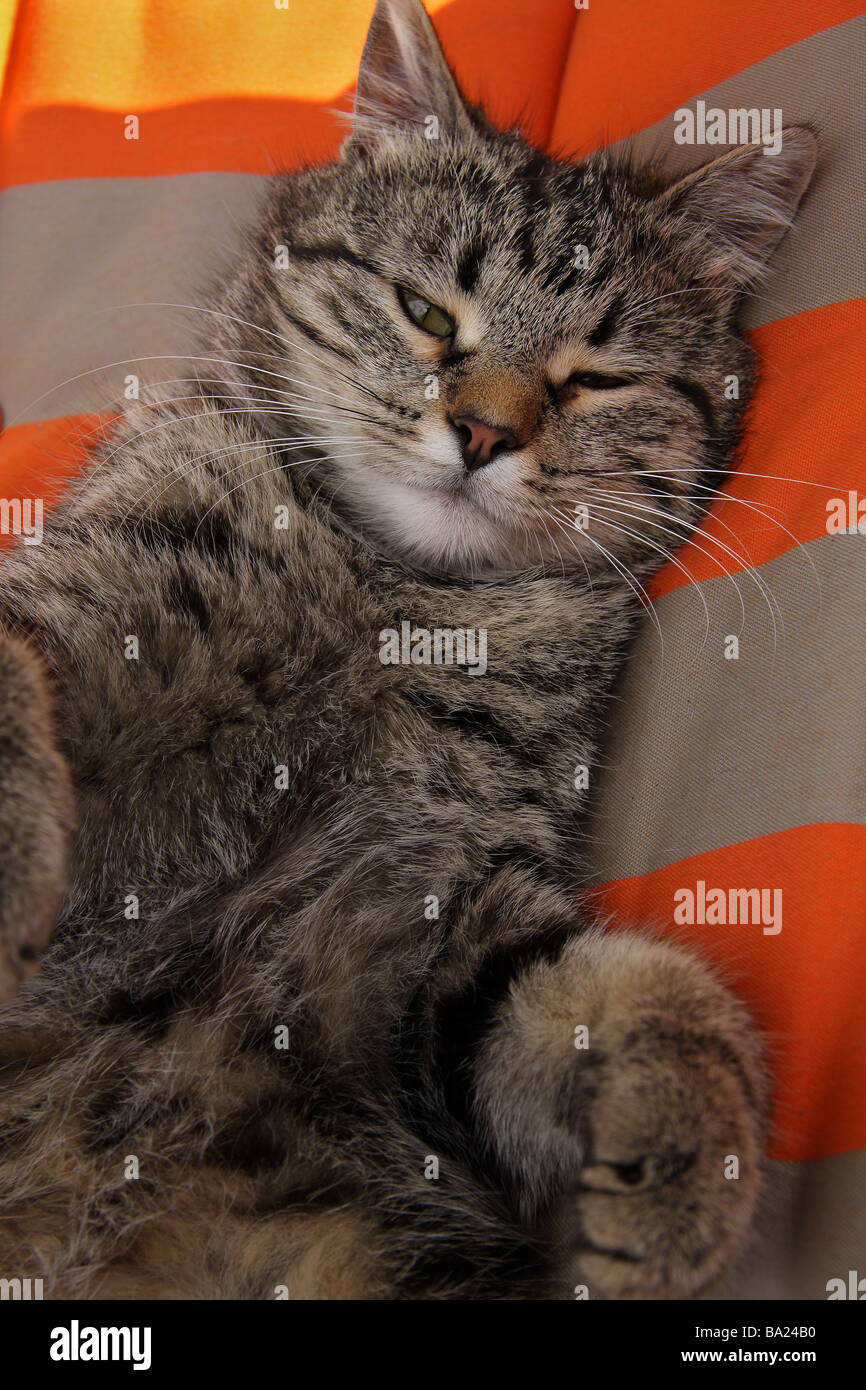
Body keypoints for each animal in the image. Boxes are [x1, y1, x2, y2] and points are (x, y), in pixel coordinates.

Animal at [0, 0, 817, 1301]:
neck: (382, 596)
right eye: (427, 313)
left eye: (592, 378)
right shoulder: (86, 607)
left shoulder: (435, 915)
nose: (481, 432)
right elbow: (17, 673)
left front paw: (687, 1145)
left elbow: (607, 986)